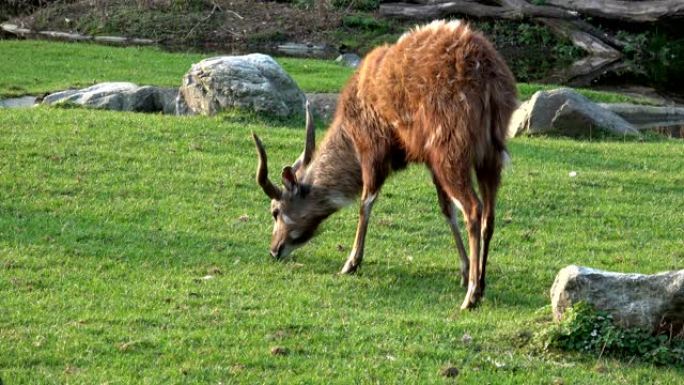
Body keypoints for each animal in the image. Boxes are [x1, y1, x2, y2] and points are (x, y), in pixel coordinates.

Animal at [254, 21, 516, 308]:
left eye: (275, 211)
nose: (274, 250)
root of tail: (489, 79)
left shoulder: (373, 151)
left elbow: (366, 202)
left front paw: (351, 263)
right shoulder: (428, 161)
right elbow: (446, 209)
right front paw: (464, 269)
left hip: (451, 154)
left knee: (473, 208)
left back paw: (471, 295)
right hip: (490, 157)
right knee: (489, 215)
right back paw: (480, 283)